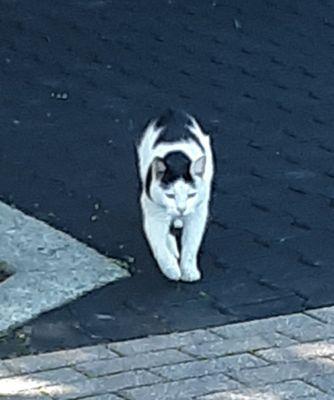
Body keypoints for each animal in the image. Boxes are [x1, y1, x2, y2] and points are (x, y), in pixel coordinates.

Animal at [138, 109, 214, 282]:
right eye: (170, 195)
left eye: (191, 195)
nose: (181, 209)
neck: (178, 158)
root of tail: (172, 110)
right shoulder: (154, 213)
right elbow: (159, 246)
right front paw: (171, 269)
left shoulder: (198, 213)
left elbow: (191, 245)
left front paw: (189, 271)